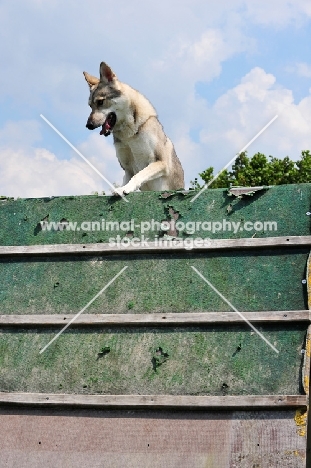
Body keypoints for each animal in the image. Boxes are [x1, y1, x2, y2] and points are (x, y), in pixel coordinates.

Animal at [83, 62, 185, 196]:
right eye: (90, 106)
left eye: (100, 102)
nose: (88, 125)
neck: (129, 135)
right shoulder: (127, 169)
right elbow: (127, 179)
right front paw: (120, 189)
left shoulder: (160, 162)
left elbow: (139, 175)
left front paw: (126, 189)